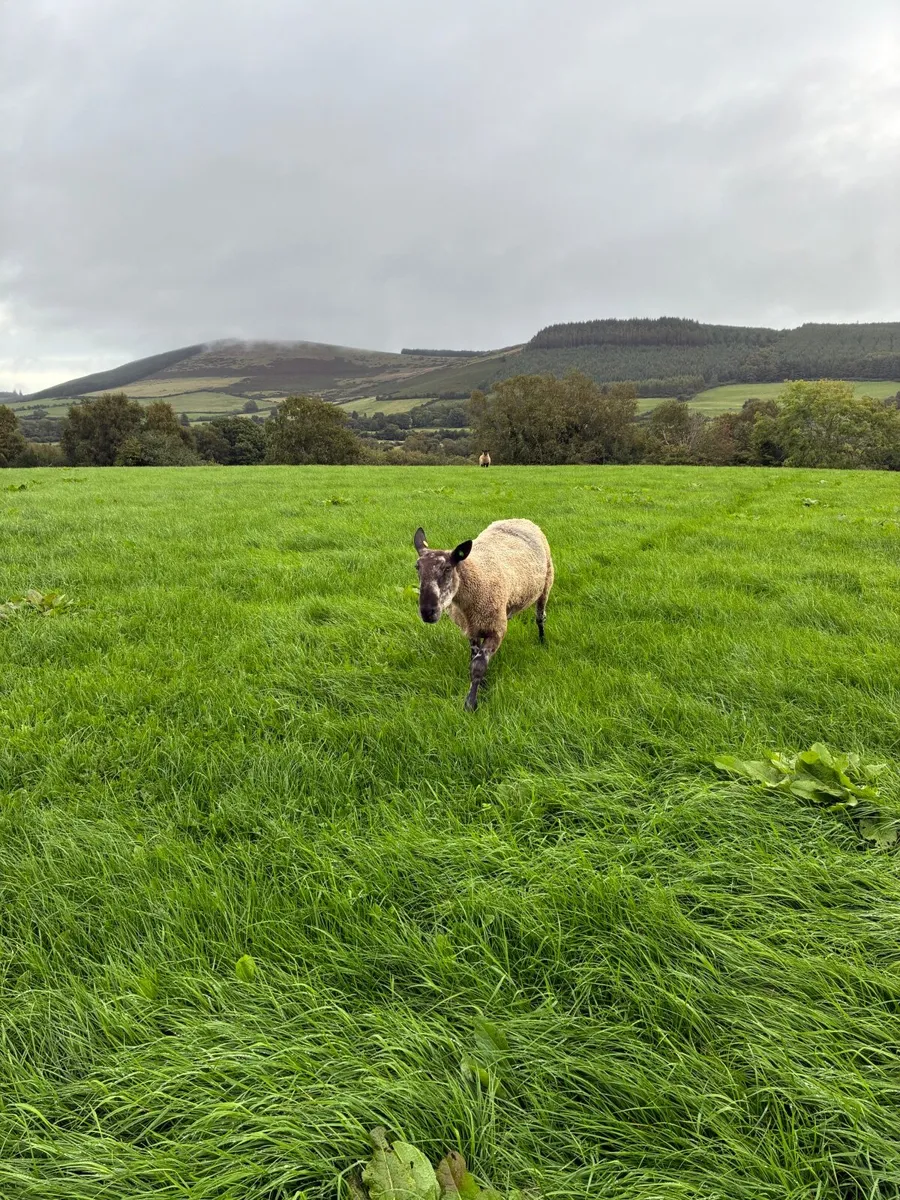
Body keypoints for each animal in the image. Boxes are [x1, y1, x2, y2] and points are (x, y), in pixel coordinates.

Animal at [413, 519, 554, 710]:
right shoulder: (471, 629)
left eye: (448, 568)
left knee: (540, 618)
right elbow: (474, 657)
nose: (427, 612)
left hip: (546, 584)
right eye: (417, 567)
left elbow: (477, 666)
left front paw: (470, 704)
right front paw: (482, 685)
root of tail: (519, 519)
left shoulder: (496, 630)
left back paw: (542, 640)